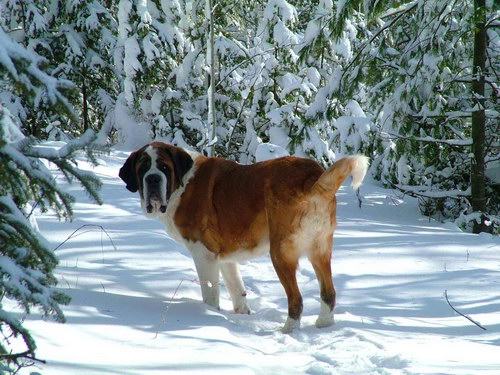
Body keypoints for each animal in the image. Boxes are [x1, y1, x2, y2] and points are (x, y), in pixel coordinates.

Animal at [119, 142, 370, 332]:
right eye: (143, 168)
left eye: (163, 166)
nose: (152, 179)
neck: (181, 185)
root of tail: (312, 177)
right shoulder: (224, 257)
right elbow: (236, 288)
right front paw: (241, 314)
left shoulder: (203, 254)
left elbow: (210, 291)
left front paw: (209, 314)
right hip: (320, 250)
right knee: (328, 293)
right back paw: (323, 324)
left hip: (280, 253)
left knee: (296, 299)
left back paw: (288, 330)